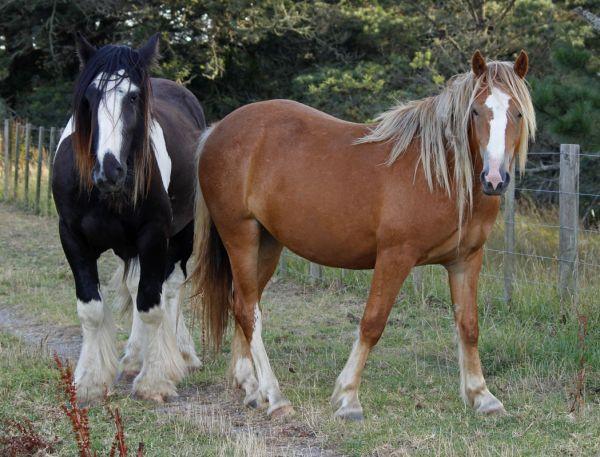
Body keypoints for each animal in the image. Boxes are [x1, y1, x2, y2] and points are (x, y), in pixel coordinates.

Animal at [52, 33, 206, 402]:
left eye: (133, 96)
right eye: (90, 96)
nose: (109, 170)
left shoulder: (154, 235)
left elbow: (151, 305)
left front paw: (155, 381)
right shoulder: (72, 237)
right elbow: (92, 308)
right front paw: (91, 381)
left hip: (181, 235)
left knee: (171, 289)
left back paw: (180, 354)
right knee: (140, 287)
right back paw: (136, 356)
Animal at [191, 51, 536, 418]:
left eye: (517, 113)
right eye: (476, 111)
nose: (494, 179)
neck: (441, 174)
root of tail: (216, 130)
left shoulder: (466, 260)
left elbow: (469, 326)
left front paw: (482, 395)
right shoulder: (395, 256)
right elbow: (372, 323)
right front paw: (348, 396)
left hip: (267, 242)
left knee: (244, 301)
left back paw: (252, 387)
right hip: (240, 235)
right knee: (247, 310)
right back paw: (275, 395)